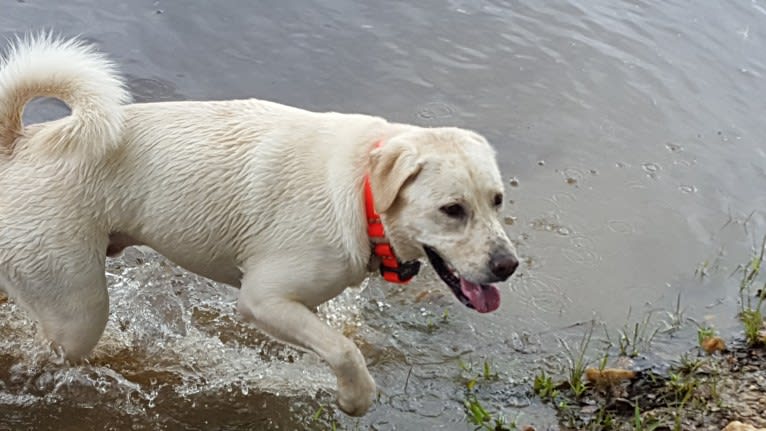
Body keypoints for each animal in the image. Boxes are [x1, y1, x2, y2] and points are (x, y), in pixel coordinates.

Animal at [0, 35, 520, 416]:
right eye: (452, 209)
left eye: (497, 200)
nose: (508, 265)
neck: (363, 190)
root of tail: (20, 142)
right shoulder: (263, 299)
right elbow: (344, 350)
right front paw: (355, 399)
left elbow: (333, 342)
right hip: (78, 312)